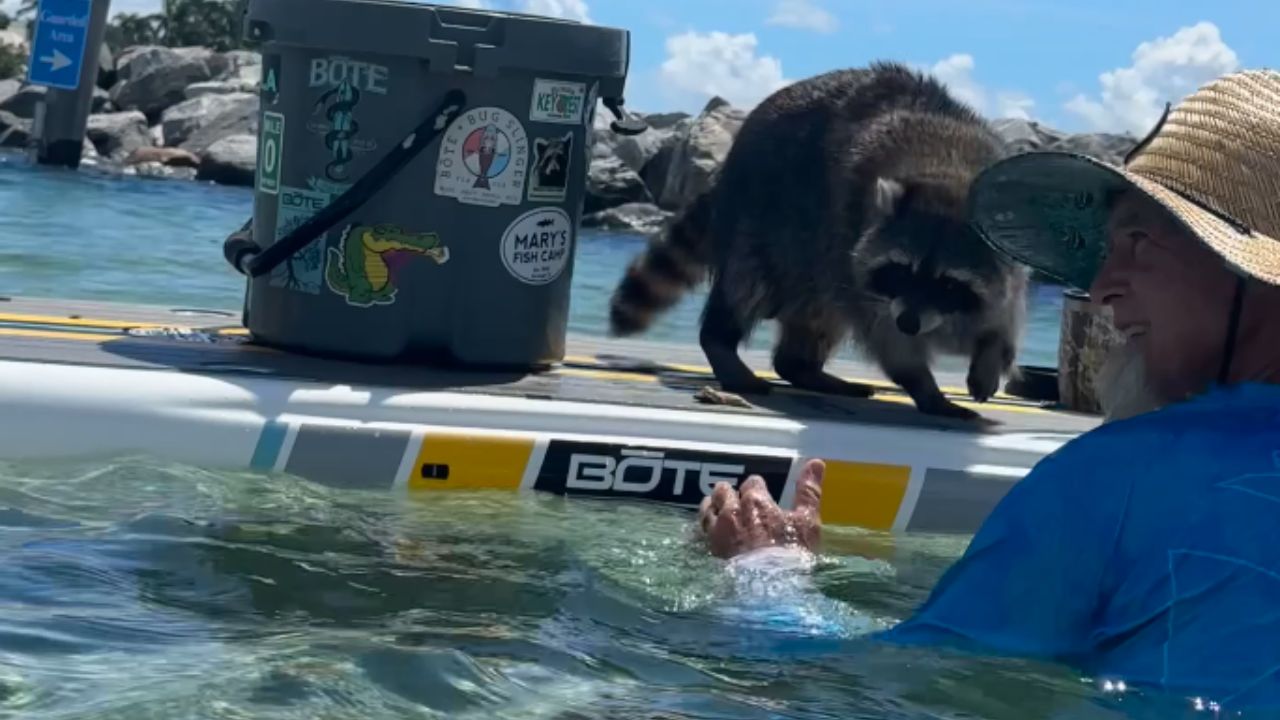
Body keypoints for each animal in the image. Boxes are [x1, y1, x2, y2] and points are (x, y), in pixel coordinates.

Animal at [608, 61, 1028, 419]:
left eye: (948, 283)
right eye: (901, 271)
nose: (909, 322)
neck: (948, 173)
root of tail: (728, 165)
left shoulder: (1012, 258)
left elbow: (1002, 317)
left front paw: (992, 356)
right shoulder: (857, 250)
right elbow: (888, 338)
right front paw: (923, 385)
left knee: (819, 313)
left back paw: (802, 366)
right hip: (766, 219)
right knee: (747, 287)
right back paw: (722, 343)